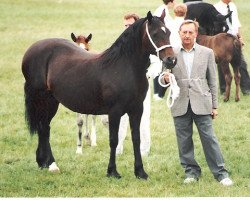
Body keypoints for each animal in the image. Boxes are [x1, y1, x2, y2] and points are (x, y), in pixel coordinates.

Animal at [22, 10, 177, 180]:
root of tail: (32, 49)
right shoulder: (114, 112)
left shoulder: (136, 110)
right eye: (155, 34)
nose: (171, 60)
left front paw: (140, 172)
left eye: (169, 32)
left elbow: (136, 138)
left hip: (52, 101)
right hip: (43, 100)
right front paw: (112, 171)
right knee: (43, 128)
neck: (124, 67)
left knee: (44, 128)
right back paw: (50, 164)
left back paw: (45, 163)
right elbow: (114, 140)